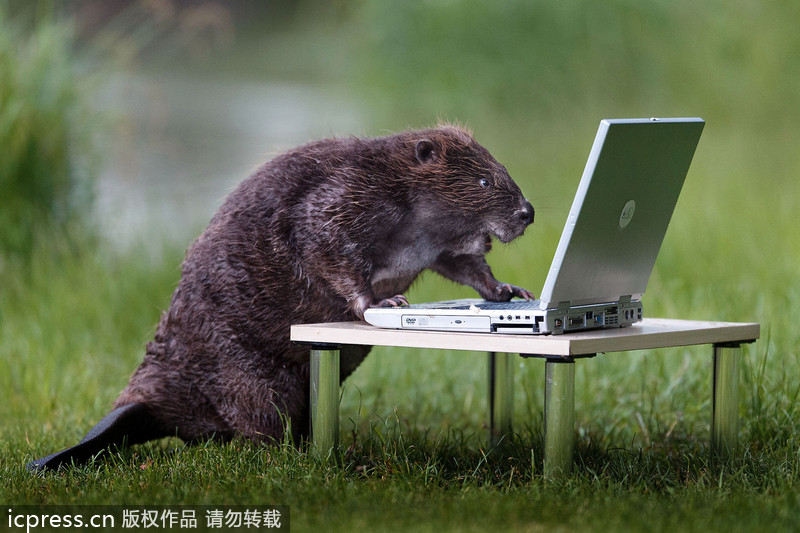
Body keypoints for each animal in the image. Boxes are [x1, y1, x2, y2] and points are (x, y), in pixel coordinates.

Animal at [28, 123, 536, 470]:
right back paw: (302, 457)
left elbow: (463, 264)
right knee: (260, 428)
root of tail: (145, 402)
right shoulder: (345, 195)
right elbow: (327, 245)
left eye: (502, 173)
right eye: (485, 182)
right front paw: (382, 303)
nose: (528, 212)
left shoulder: (437, 241)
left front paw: (509, 290)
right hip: (244, 375)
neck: (401, 191)